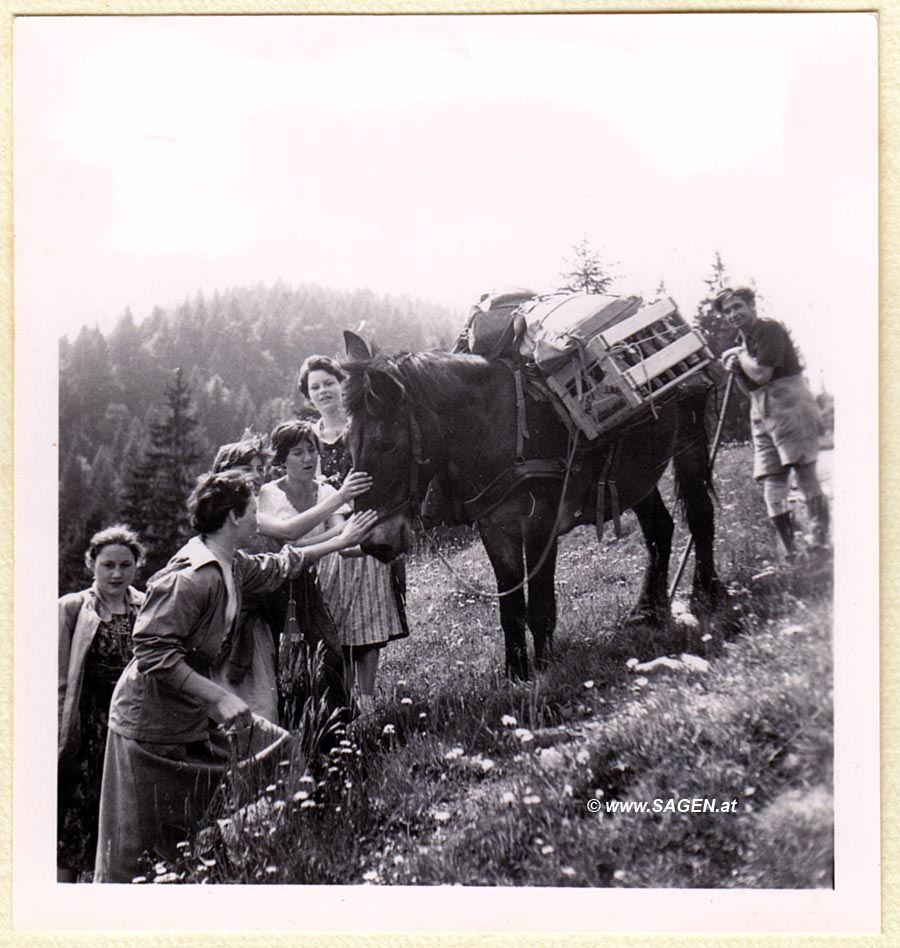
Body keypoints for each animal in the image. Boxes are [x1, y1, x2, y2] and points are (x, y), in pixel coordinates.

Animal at [338, 334, 724, 680]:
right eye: (347, 444)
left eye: (386, 444)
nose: (374, 544)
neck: (498, 428)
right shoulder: (495, 528)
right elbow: (510, 608)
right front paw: (516, 673)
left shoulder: (541, 522)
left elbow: (539, 603)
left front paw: (545, 668)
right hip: (636, 472)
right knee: (660, 528)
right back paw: (648, 609)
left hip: (689, 440)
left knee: (701, 515)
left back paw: (706, 594)